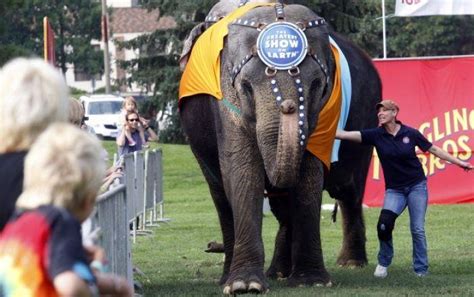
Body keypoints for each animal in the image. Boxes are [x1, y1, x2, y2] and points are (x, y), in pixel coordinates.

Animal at [178, 1, 382, 294]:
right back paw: (258, 274)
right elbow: (242, 170)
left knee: (349, 190)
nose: (288, 106)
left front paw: (312, 282)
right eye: (246, 87)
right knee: (223, 197)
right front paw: (244, 286)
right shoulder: (225, 102)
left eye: (317, 86)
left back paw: (349, 263)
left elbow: (309, 172)